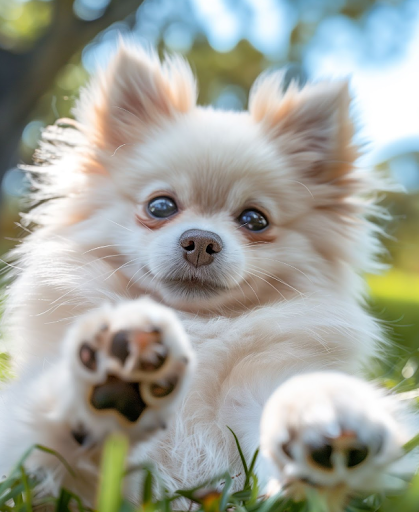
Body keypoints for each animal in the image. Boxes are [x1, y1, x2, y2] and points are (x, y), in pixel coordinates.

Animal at [0, 45, 416, 512]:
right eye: (161, 206)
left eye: (255, 219)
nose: (200, 240)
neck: (194, 330)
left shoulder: (257, 391)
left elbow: (287, 394)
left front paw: (323, 410)